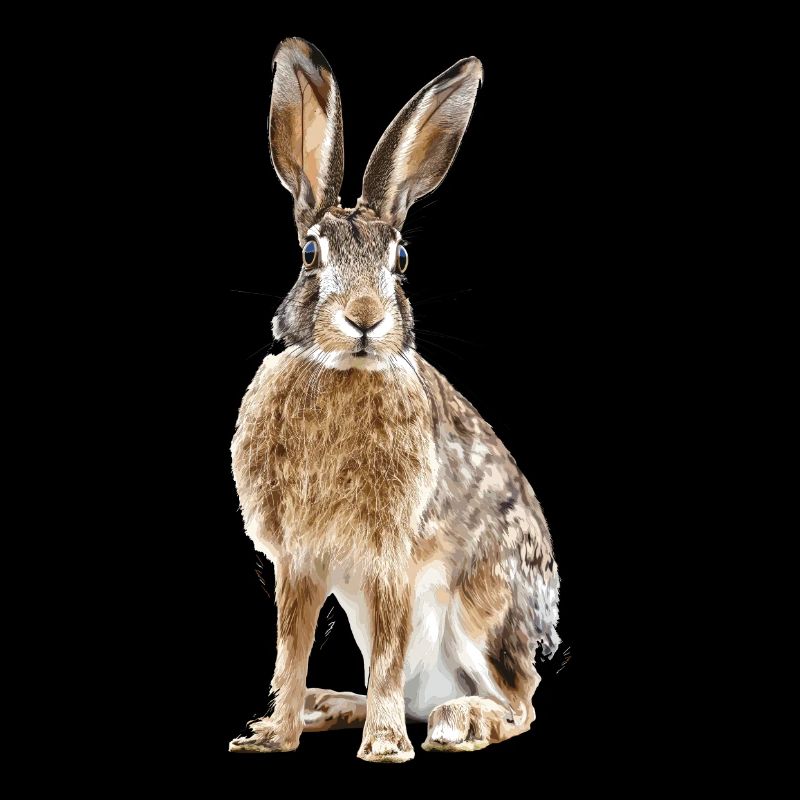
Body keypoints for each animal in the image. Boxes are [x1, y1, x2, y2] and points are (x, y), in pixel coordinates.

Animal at [229, 37, 560, 763]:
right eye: (309, 253)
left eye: (401, 260)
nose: (365, 319)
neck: (341, 371)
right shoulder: (299, 562)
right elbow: (290, 651)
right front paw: (273, 735)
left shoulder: (392, 560)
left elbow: (385, 654)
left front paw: (383, 749)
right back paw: (328, 705)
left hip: (480, 614)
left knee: (519, 705)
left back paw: (460, 723)